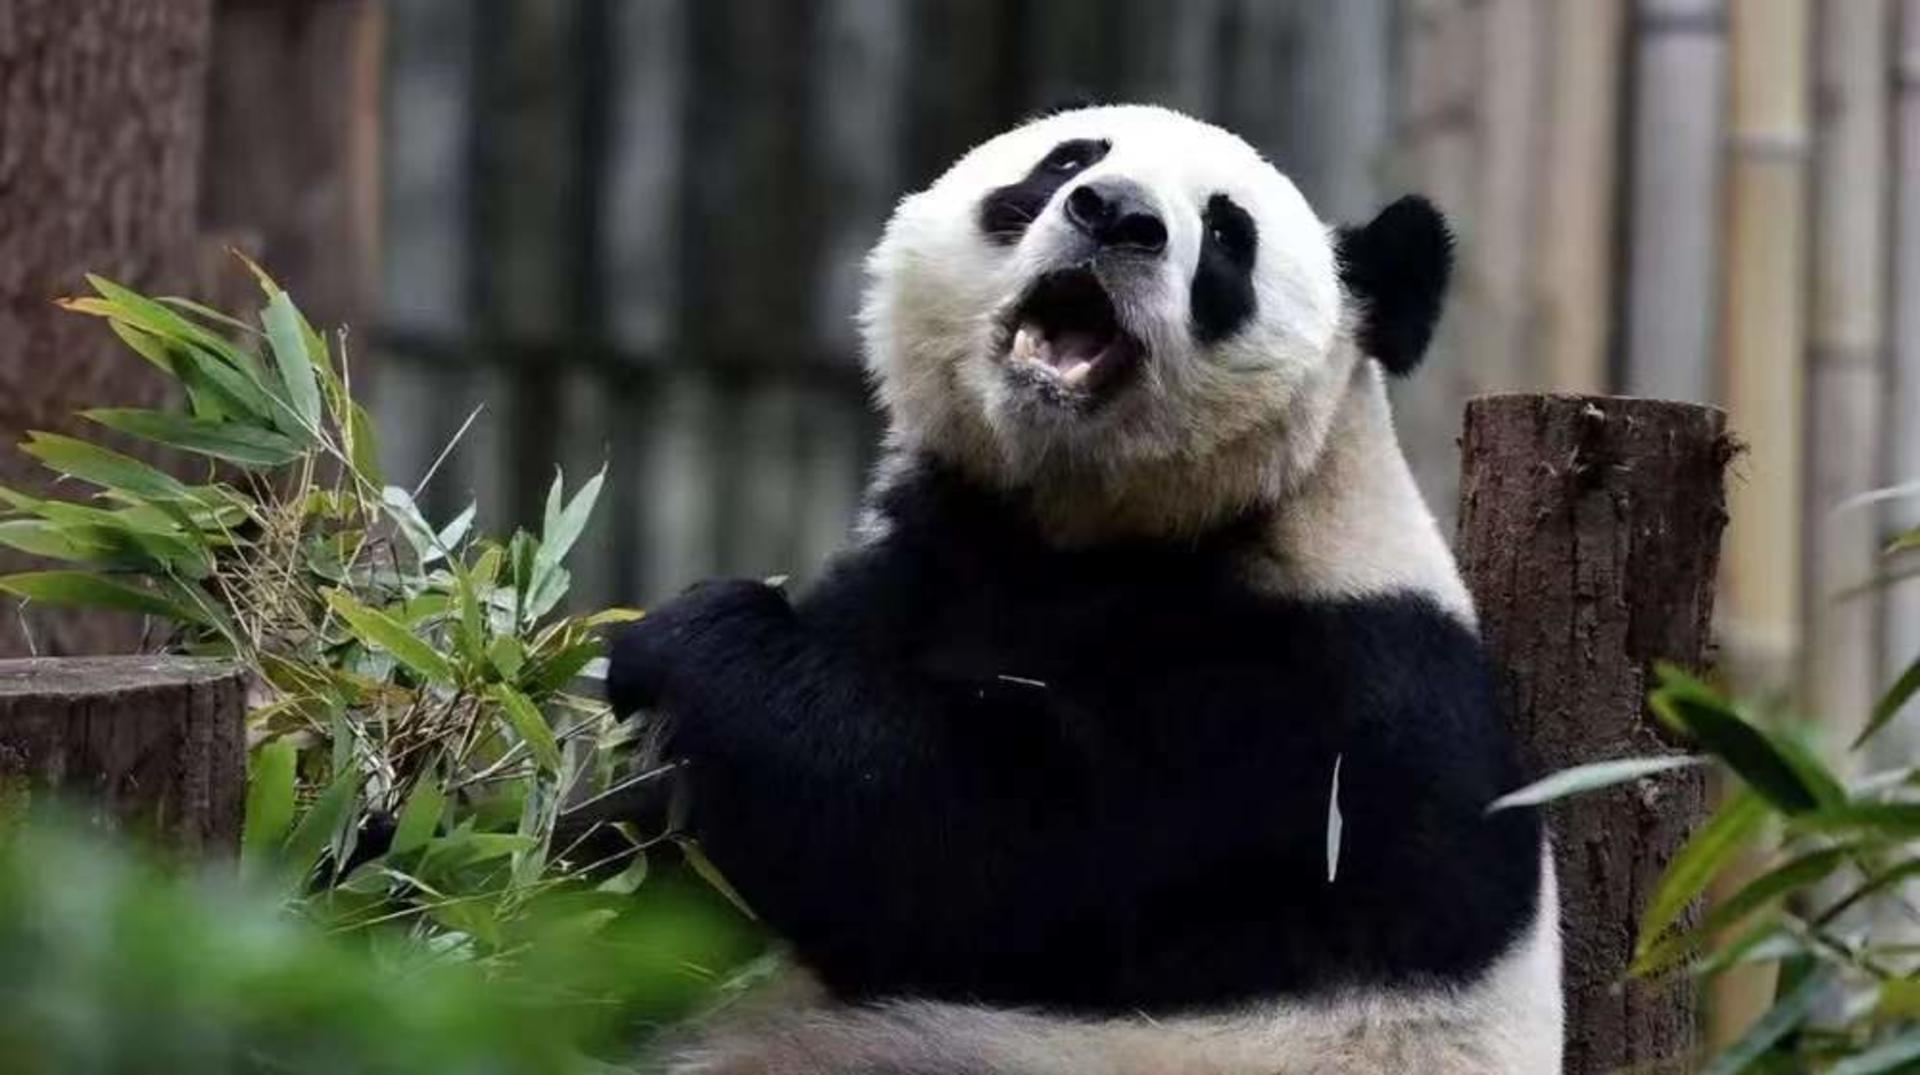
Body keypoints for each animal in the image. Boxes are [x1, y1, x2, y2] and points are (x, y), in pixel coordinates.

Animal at [609, 104, 1562, 1074]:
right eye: (1068, 160)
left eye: (1229, 234)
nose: (1116, 217)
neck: (1084, 530)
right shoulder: (924, 567)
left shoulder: (1318, 700)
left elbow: (997, 854)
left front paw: (693, 642)